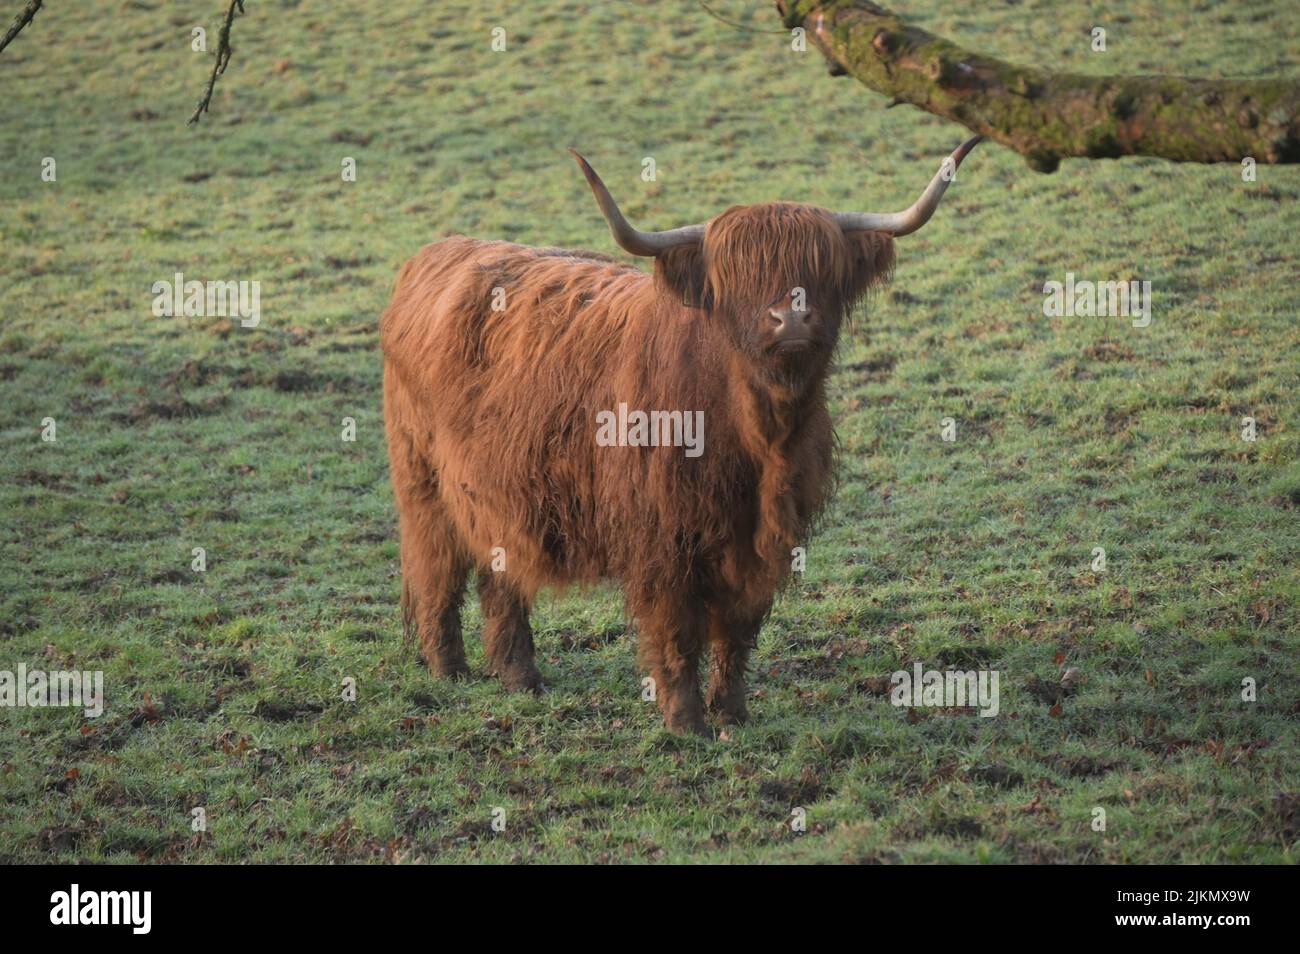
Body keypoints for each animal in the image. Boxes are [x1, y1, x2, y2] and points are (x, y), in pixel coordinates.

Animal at [380, 138, 981, 734]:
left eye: (821, 268)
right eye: (738, 277)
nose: (790, 319)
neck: (760, 438)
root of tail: (438, 253)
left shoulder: (758, 540)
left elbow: (737, 629)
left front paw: (732, 711)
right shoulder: (661, 536)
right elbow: (675, 629)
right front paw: (685, 720)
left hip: (496, 493)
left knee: (498, 576)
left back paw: (521, 677)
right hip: (424, 483)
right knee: (436, 569)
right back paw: (450, 671)